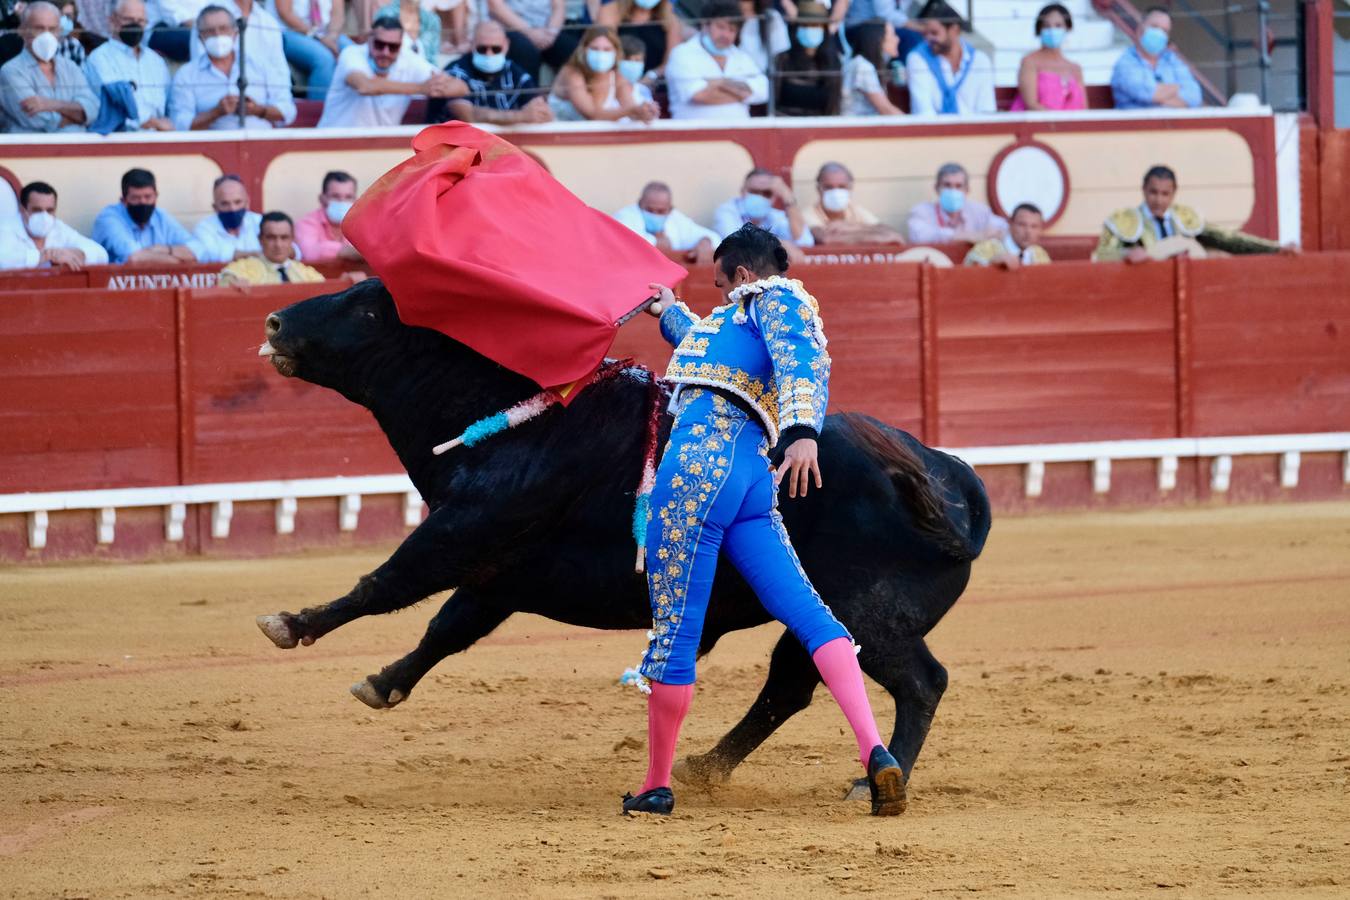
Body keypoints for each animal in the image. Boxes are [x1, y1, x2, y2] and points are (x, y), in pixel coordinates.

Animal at [255, 279, 993, 793]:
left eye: (368, 312)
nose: (275, 320)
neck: (518, 420)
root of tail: (940, 469)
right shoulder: (498, 574)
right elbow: (445, 630)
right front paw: (384, 682)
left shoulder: (463, 534)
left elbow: (386, 583)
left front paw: (291, 624)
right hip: (814, 611)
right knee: (792, 684)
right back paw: (705, 766)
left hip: (871, 614)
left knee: (920, 682)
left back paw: (873, 780)